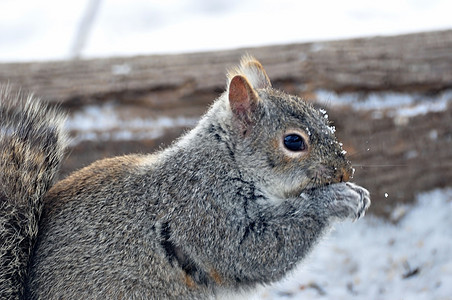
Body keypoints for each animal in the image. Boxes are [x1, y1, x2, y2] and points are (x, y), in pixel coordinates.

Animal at [0, 55, 370, 298]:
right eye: (294, 141)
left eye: (323, 118)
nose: (345, 171)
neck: (224, 165)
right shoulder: (202, 213)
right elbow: (254, 252)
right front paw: (336, 200)